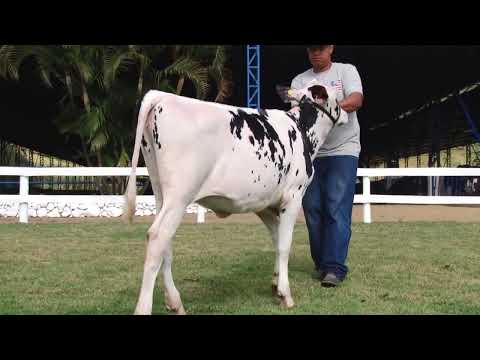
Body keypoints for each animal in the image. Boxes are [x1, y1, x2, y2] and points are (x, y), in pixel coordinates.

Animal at [124, 80, 348, 314]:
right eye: (339, 98)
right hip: (179, 196)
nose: (347, 114)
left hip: (161, 191)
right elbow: (285, 245)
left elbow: (276, 239)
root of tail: (163, 96)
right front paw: (285, 293)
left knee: (165, 243)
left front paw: (275, 284)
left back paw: (175, 302)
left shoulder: (265, 204)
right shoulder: (293, 196)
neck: (301, 129)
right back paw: (145, 308)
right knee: (157, 238)